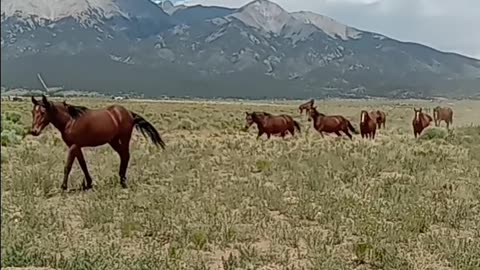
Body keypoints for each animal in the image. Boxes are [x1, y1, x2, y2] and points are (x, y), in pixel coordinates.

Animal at [30, 95, 166, 190]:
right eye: (33, 112)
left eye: (43, 112)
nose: (34, 131)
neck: (70, 121)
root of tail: (129, 113)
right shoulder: (77, 146)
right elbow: (83, 164)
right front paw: (89, 183)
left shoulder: (73, 146)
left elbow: (67, 166)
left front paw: (63, 187)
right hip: (113, 141)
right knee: (123, 156)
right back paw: (121, 179)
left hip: (124, 138)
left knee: (126, 156)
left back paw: (123, 182)